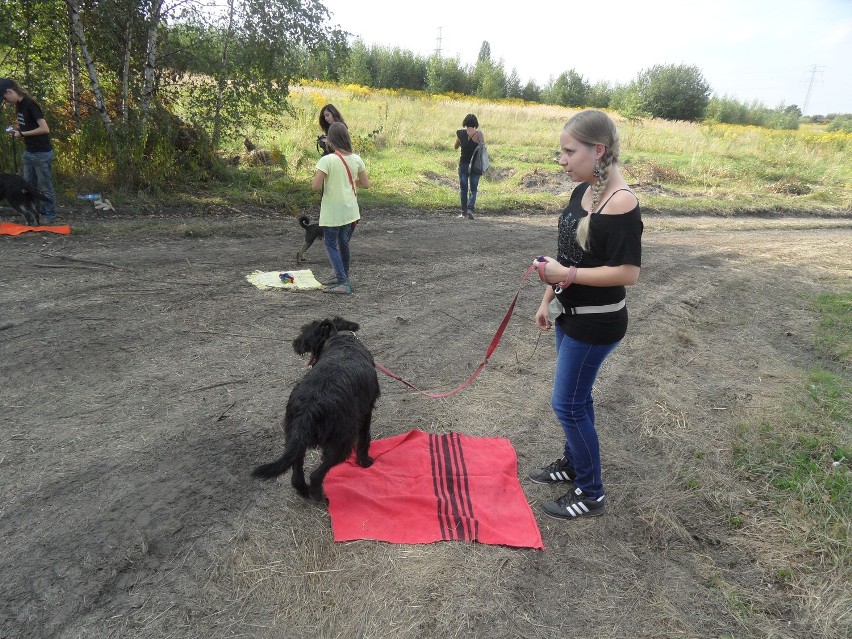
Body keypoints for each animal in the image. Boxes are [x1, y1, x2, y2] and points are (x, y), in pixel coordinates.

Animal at [248, 318, 378, 502]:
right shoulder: (366, 410)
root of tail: (308, 410)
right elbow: (365, 438)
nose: (295, 344)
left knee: (296, 473)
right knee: (316, 475)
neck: (340, 340)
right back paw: (320, 497)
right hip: (343, 441)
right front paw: (365, 461)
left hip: (295, 439)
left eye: (304, 332)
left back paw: (304, 491)